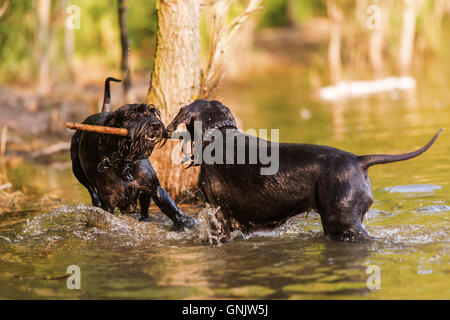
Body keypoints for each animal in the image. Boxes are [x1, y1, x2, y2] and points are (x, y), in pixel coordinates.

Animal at [70, 76, 195, 229]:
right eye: (131, 113)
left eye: (152, 112)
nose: (155, 125)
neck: (125, 164)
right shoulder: (108, 204)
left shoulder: (156, 190)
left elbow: (172, 210)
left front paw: (185, 224)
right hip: (77, 170)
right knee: (92, 192)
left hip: (145, 198)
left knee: (145, 212)